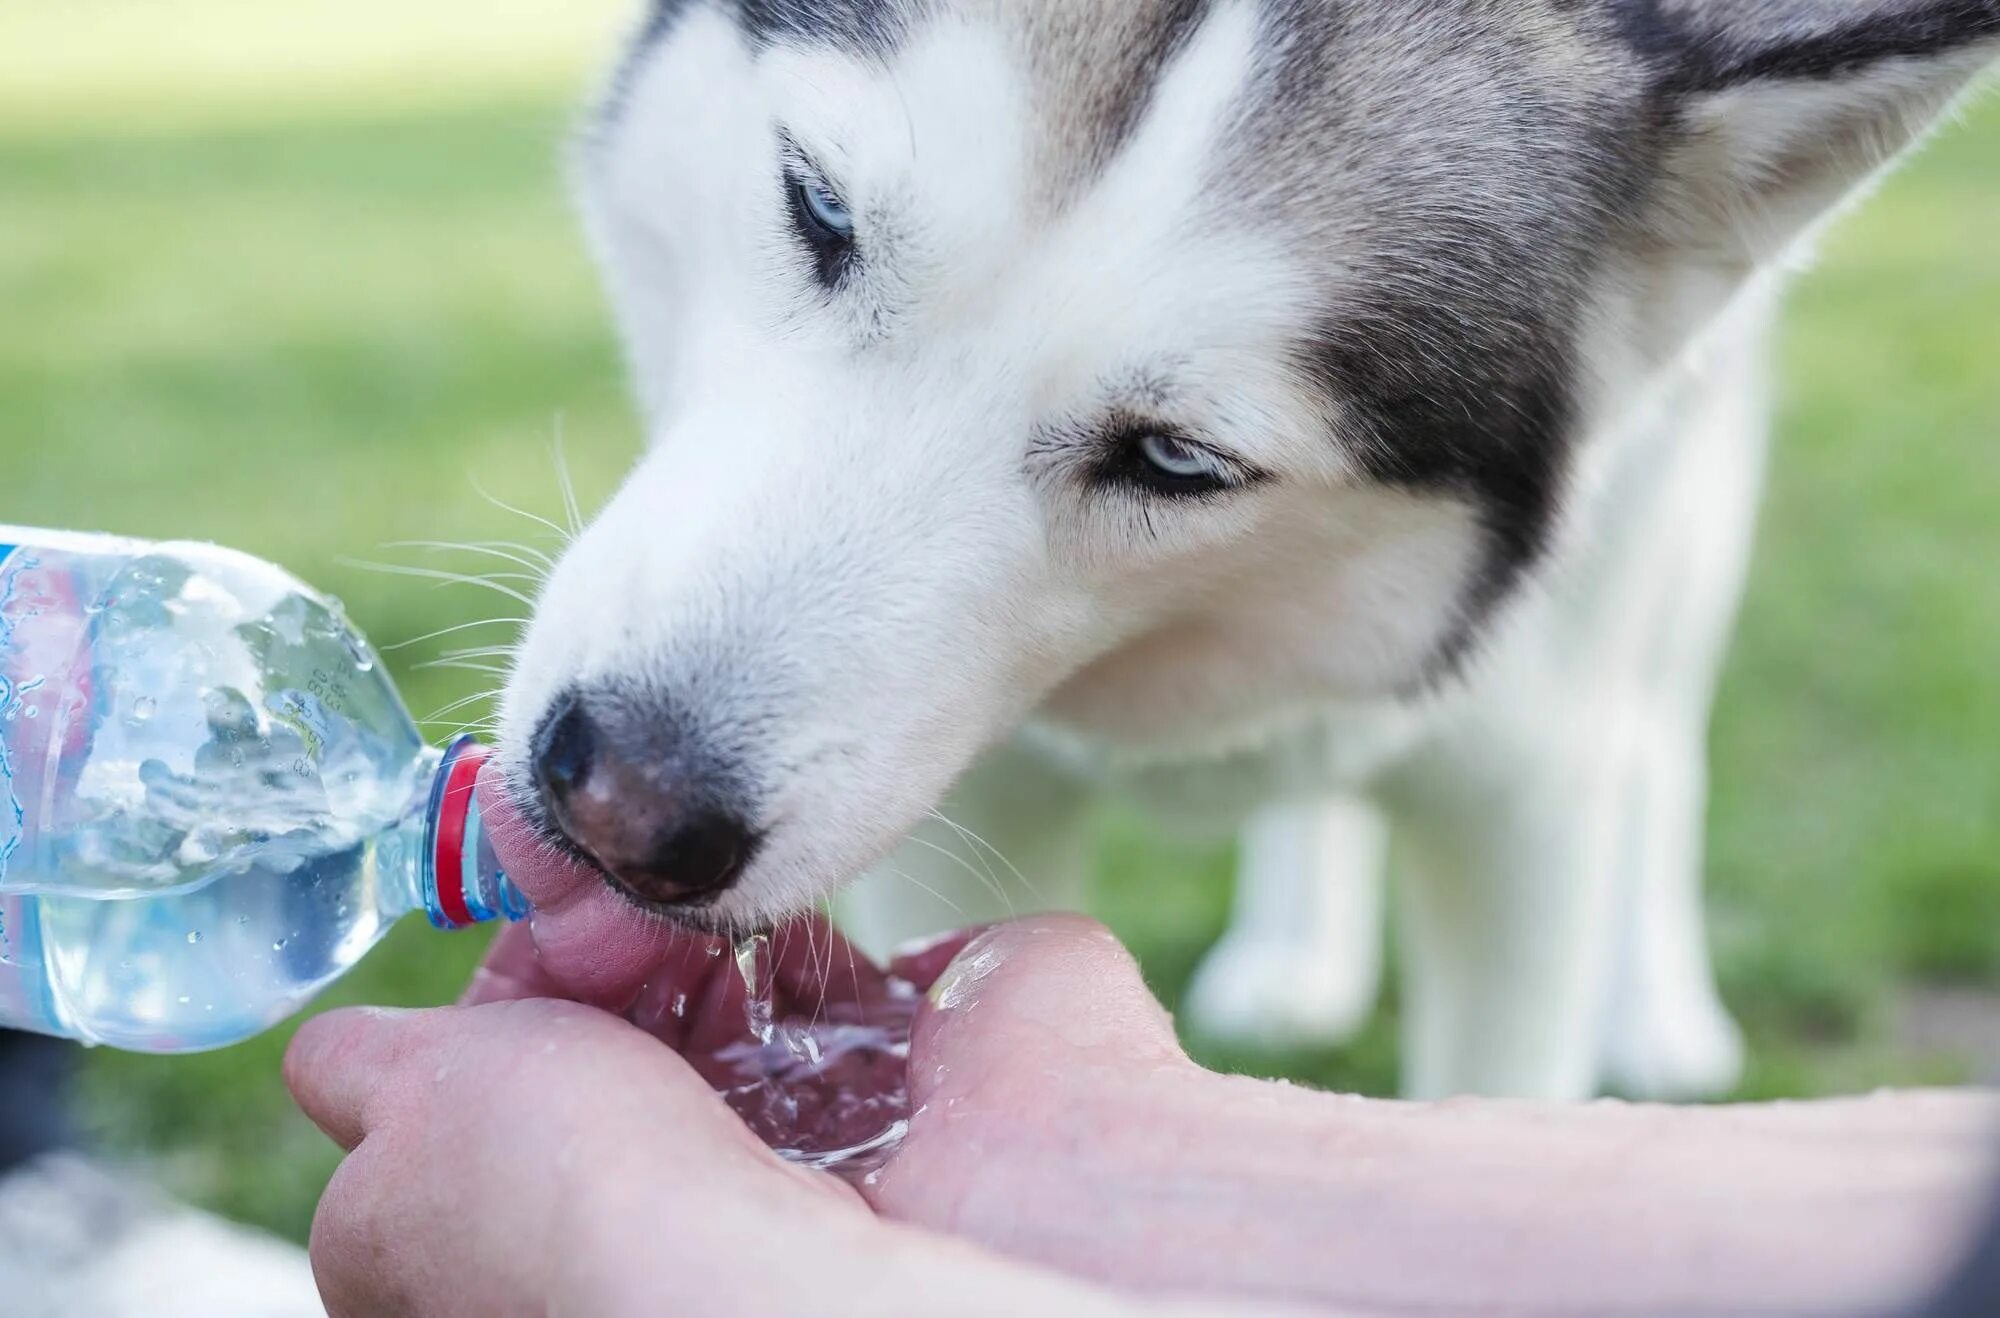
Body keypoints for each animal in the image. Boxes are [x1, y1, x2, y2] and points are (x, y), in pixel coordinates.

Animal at [496, 0, 2000, 1104]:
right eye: (817, 207)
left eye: (1179, 461)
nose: (620, 803)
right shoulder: (973, 816)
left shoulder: (1521, 811)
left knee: (1662, 736)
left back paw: (1660, 1004)